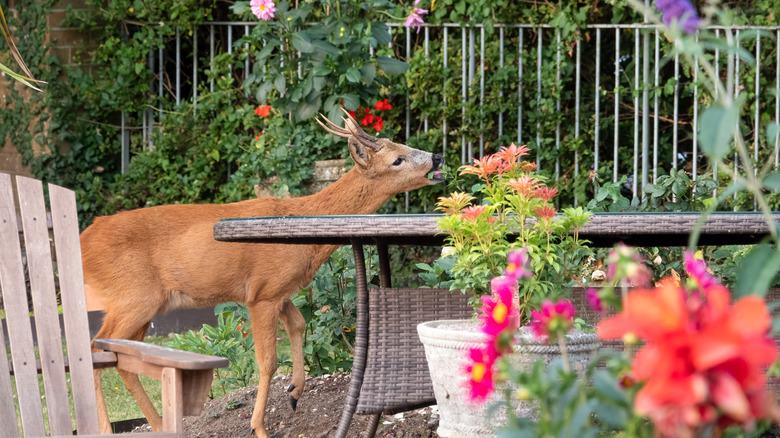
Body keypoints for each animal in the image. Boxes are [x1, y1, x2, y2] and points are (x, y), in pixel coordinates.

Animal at [80, 109, 444, 438]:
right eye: (397, 159)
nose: (438, 157)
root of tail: (83, 241)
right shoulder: (262, 293)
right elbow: (268, 361)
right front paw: (260, 427)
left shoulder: (280, 290)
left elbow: (299, 324)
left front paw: (295, 392)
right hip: (133, 296)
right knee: (96, 346)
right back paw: (108, 429)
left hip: (144, 304)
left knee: (121, 354)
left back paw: (156, 425)